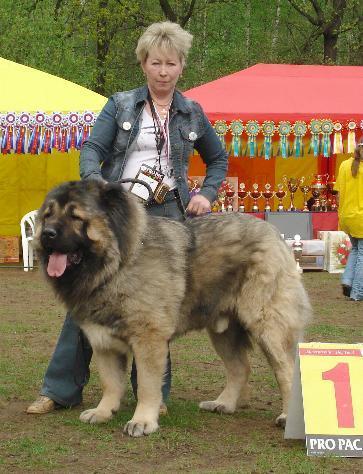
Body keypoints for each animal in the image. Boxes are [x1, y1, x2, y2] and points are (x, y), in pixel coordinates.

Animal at [34, 181, 312, 436]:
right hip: (223, 332)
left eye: (75, 217)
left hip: (267, 326)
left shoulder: (148, 338)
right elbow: (110, 382)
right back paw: (223, 404)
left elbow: (147, 385)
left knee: (287, 371)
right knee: (240, 368)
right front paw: (103, 412)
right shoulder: (104, 341)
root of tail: (273, 232)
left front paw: (142, 421)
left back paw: (287, 418)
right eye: (47, 215)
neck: (117, 265)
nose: (47, 233)